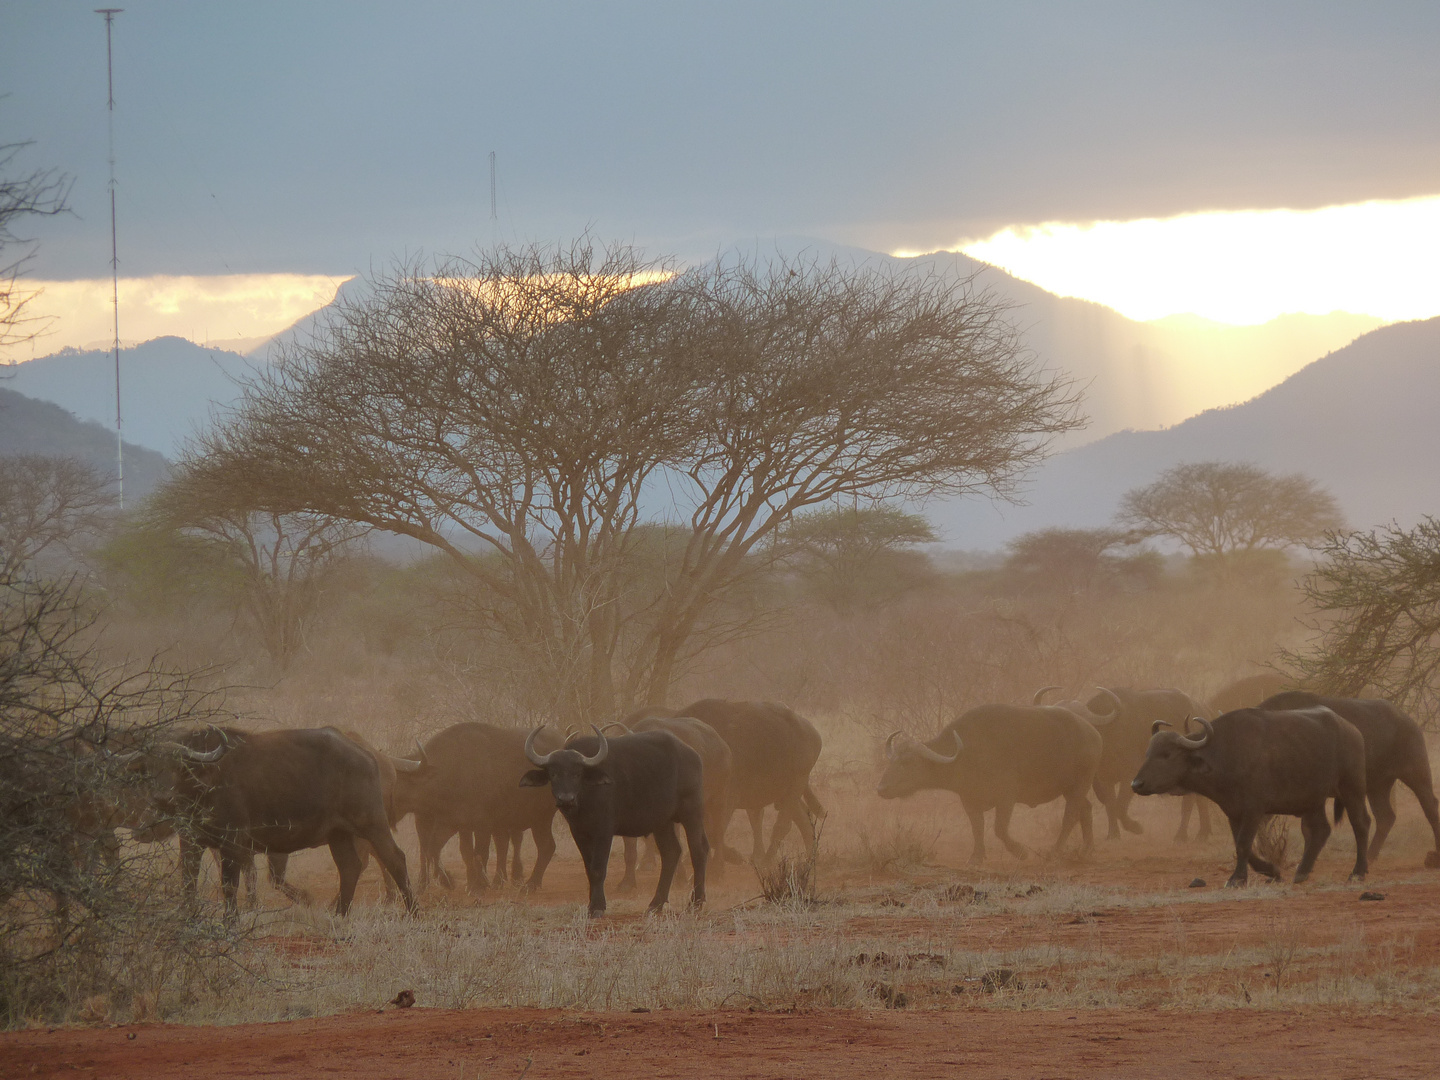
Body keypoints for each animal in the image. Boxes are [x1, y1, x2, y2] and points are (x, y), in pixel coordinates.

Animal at [397, 722, 558, 892]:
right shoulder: (453, 823)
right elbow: (443, 849)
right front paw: (452, 881)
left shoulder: (482, 825)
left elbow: (479, 853)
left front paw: (478, 884)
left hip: (541, 818)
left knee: (545, 846)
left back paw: (528, 884)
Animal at [630, 702, 823, 869]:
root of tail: (813, 733)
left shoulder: (726, 797)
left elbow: (715, 830)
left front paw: (728, 859)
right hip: (785, 792)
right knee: (803, 820)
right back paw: (809, 857)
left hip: (795, 787)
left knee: (782, 825)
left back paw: (767, 861)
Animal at [875, 705, 1100, 869]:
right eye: (892, 761)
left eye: (907, 763)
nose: (881, 788)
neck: (967, 753)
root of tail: (1093, 733)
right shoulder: (969, 800)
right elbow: (977, 828)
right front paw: (976, 856)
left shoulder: (1006, 798)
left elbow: (999, 828)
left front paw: (1021, 852)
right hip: (1070, 788)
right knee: (1086, 809)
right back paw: (1086, 850)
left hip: (1080, 783)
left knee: (1070, 816)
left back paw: (1055, 852)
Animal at [1123, 711, 1370, 887]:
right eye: (1148, 753)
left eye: (1166, 755)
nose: (1136, 784)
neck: (1226, 755)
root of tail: (1353, 731)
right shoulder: (1233, 812)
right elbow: (1243, 846)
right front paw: (1272, 870)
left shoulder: (1254, 810)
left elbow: (1243, 844)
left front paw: (1237, 879)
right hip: (1312, 801)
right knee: (1320, 830)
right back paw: (1301, 872)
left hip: (1352, 790)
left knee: (1361, 824)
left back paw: (1358, 872)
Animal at [1261, 694, 1440, 869]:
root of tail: (1409, 721)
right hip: (1378, 786)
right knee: (1385, 816)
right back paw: (1369, 857)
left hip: (1416, 772)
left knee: (1430, 807)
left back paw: (1434, 856)